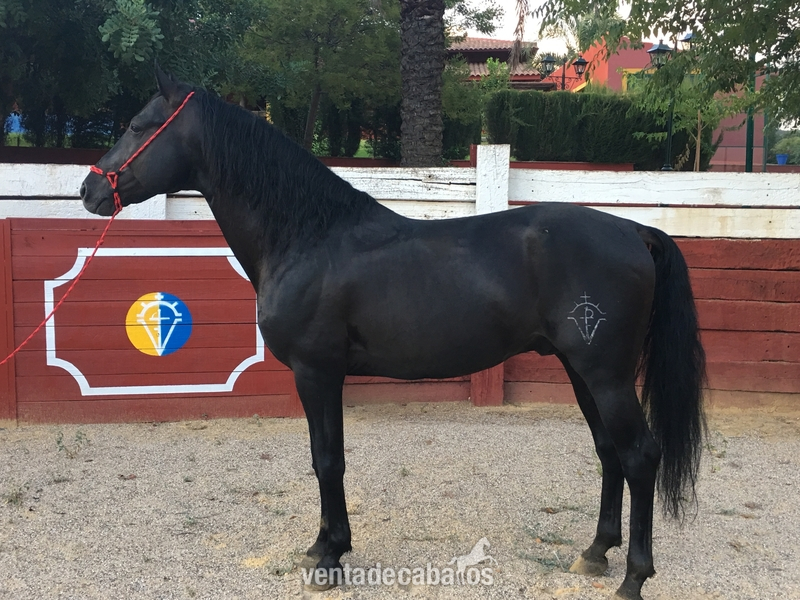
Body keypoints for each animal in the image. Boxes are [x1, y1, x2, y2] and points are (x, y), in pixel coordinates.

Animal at [80, 67, 706, 600]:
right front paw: (323, 545)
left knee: (639, 455)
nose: (90, 190)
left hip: (606, 375)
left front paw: (331, 557)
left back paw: (634, 578)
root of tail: (633, 230)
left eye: (138, 125)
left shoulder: (317, 371)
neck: (308, 237)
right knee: (609, 452)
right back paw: (596, 552)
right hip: (582, 371)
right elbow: (323, 457)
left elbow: (327, 459)